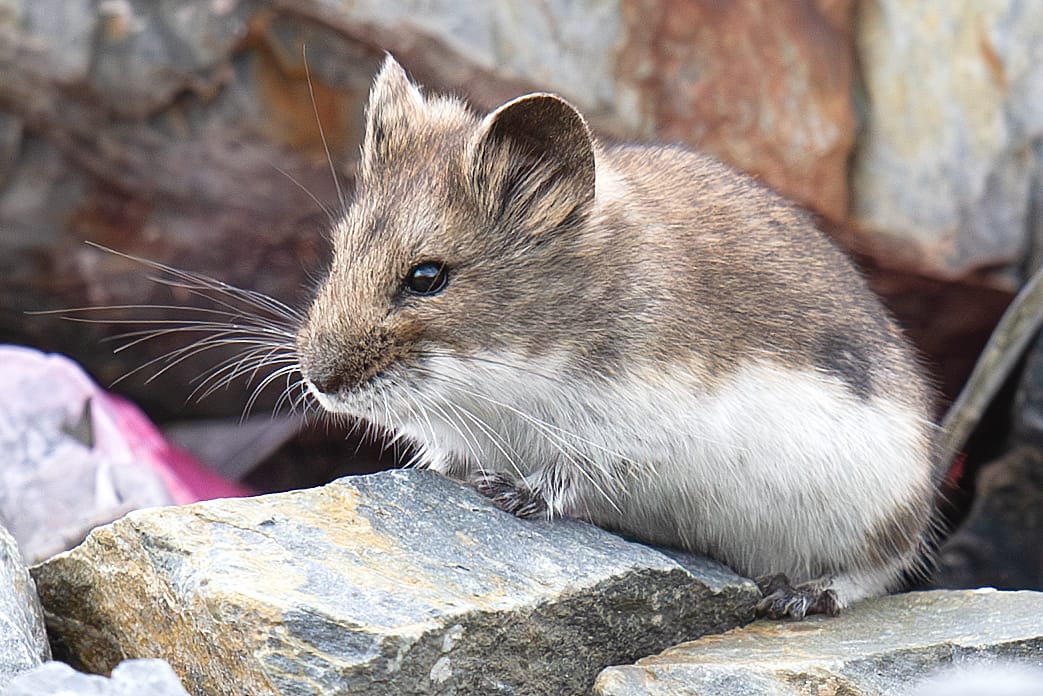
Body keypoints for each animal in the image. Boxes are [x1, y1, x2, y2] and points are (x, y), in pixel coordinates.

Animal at [295, 56, 941, 619]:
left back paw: (796, 596)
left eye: (427, 277)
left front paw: (508, 494)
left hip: (872, 512)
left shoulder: (632, 433)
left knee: (873, 573)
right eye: (338, 248)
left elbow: (570, 474)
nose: (318, 382)